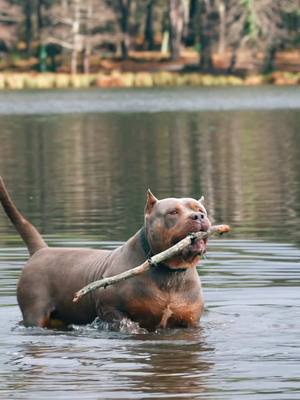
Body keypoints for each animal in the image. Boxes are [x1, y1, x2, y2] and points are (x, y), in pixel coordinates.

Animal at [0, 178, 211, 332]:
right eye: (173, 212)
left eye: (201, 210)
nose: (198, 217)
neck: (169, 274)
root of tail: (42, 249)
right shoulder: (109, 307)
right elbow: (125, 322)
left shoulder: (190, 322)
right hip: (35, 312)